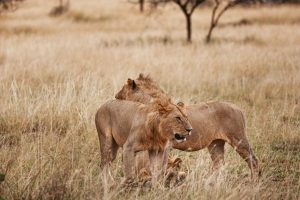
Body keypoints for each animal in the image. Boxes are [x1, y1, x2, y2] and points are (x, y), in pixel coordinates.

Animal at [115, 74, 260, 178]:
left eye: (121, 89)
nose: (115, 96)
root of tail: (238, 108)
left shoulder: (166, 145)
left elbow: (160, 164)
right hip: (215, 144)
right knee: (219, 165)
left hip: (238, 139)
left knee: (253, 160)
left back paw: (254, 181)